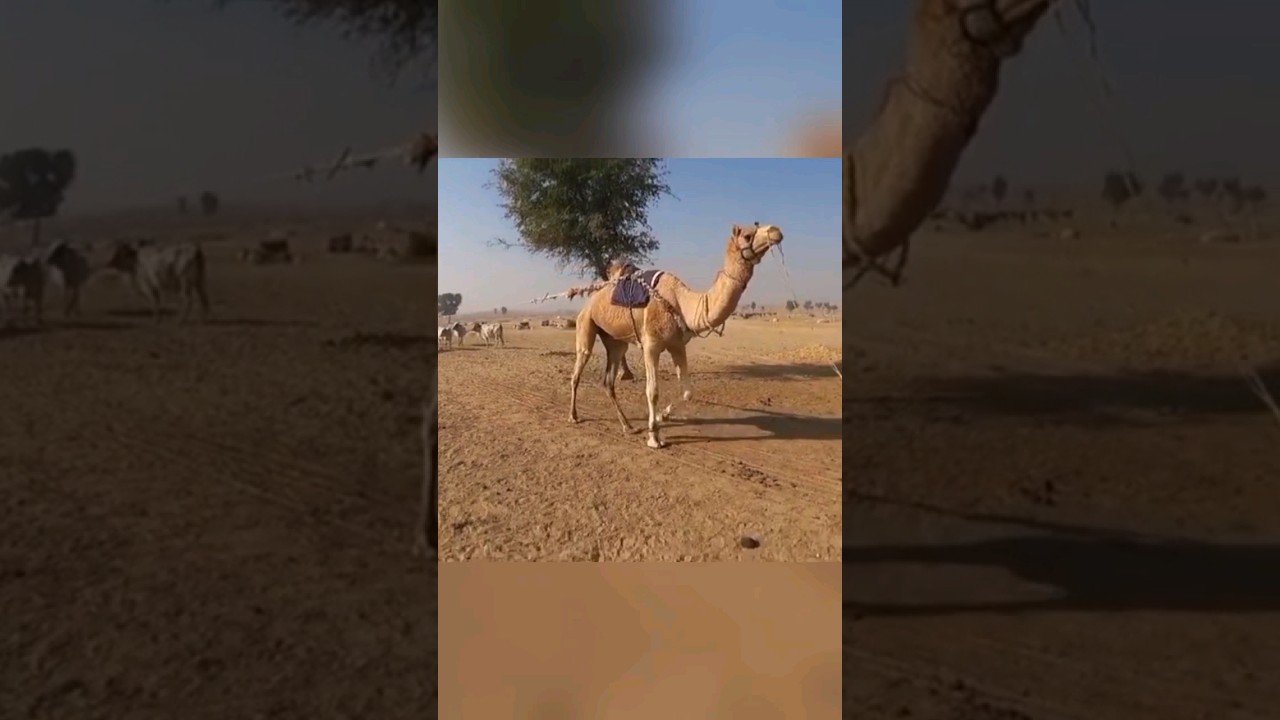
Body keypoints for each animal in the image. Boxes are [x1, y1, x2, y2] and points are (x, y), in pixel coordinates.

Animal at [569, 223, 784, 449]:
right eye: (748, 235)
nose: (775, 230)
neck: (681, 302)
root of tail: (591, 300)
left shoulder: (677, 345)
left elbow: (687, 391)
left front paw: (662, 416)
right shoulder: (651, 345)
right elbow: (652, 391)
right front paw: (654, 437)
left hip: (616, 341)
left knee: (608, 381)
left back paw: (628, 426)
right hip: (585, 323)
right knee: (578, 369)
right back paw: (574, 416)